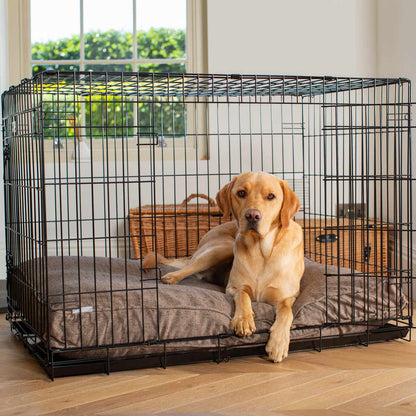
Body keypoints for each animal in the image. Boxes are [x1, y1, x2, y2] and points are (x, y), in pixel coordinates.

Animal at [145, 171, 304, 362]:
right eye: (241, 193)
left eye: (271, 196)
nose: (252, 215)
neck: (261, 252)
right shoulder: (233, 287)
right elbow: (243, 295)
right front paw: (243, 319)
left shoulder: (286, 296)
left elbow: (287, 312)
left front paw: (278, 343)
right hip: (222, 248)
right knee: (189, 267)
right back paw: (171, 277)